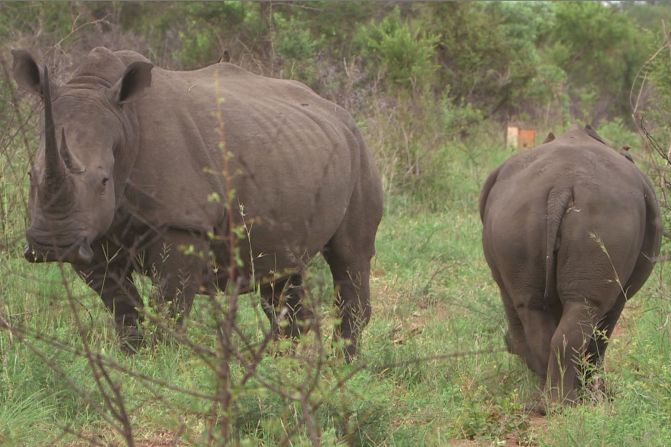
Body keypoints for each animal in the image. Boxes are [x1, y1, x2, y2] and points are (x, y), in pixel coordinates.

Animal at [14, 47, 384, 358]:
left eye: (103, 181)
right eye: (31, 175)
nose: (52, 245)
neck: (124, 121)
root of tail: (339, 112)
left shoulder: (182, 225)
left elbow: (170, 305)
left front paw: (162, 360)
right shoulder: (93, 233)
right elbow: (122, 305)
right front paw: (133, 358)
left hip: (360, 154)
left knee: (350, 255)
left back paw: (342, 365)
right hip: (293, 156)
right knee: (282, 271)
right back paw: (285, 365)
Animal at [480, 125, 664, 410]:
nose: (507, 343)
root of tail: (561, 186)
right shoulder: (618, 296)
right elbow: (602, 336)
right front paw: (595, 392)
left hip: (514, 215)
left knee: (533, 306)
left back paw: (547, 402)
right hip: (605, 214)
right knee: (586, 307)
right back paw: (565, 403)